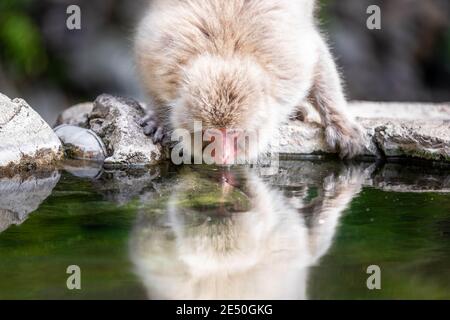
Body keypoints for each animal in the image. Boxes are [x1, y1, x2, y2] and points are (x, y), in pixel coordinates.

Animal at [135, 0, 368, 164]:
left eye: (234, 134)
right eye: (211, 134)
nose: (223, 157)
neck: (226, 53)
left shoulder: (292, 64)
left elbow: (317, 56)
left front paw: (341, 125)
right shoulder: (159, 55)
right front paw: (159, 117)